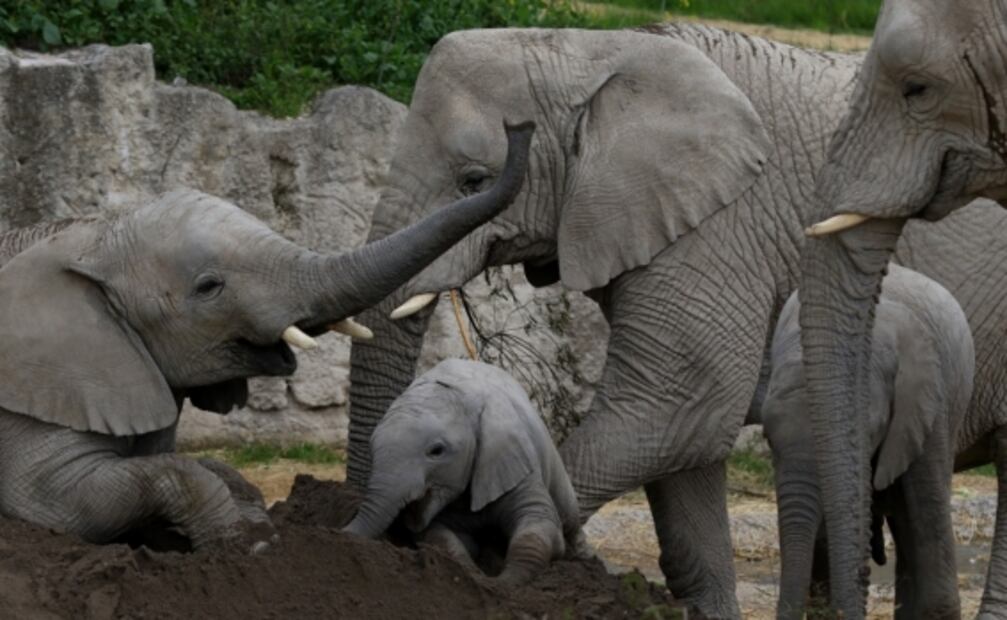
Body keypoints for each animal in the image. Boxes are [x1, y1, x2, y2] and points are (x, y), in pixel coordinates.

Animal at [0, 119, 533, 548]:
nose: (518, 127)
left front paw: (256, 527)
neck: (88, 236)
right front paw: (246, 546)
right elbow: (61, 502)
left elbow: (202, 468)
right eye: (209, 287)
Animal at [343, 359, 585, 585]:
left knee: (570, 518)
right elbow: (440, 536)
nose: (342, 533)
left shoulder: (515, 464)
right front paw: (470, 572)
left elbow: (539, 525)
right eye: (371, 447)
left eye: (437, 451)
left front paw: (500, 582)